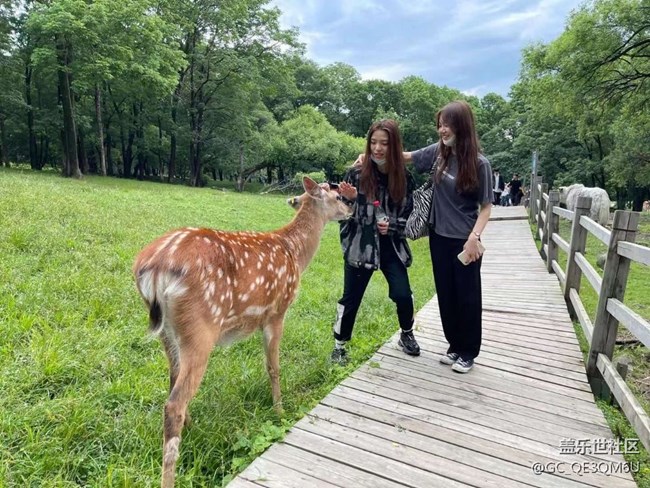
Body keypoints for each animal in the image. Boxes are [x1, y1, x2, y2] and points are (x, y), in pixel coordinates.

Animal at [132, 177, 351, 488]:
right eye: (336, 195)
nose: (351, 211)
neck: (295, 254)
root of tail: (153, 267)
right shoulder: (277, 311)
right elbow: (273, 366)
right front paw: (279, 410)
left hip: (167, 332)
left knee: (173, 381)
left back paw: (194, 427)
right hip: (200, 328)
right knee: (173, 404)